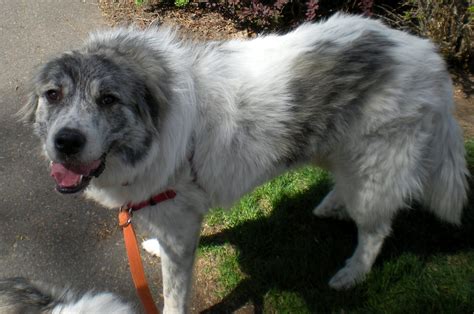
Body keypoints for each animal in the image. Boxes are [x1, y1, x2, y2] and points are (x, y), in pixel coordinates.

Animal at [20, 14, 468, 312]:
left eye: (108, 99)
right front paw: (151, 245)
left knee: (375, 230)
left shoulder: (180, 225)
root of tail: (428, 55)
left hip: (375, 169)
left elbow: (174, 292)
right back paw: (330, 206)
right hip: (338, 151)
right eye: (53, 95)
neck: (158, 123)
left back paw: (352, 273)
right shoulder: (174, 217)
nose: (66, 142)